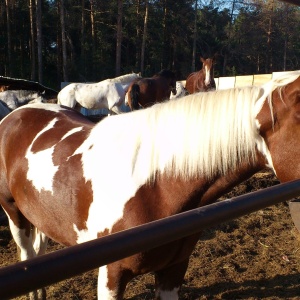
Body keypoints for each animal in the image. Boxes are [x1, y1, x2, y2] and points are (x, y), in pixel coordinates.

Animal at [0, 71, 300, 298]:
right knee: (27, 254)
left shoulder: (173, 270)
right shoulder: (111, 274)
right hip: (14, 213)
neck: (155, 186)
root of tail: (15, 115)